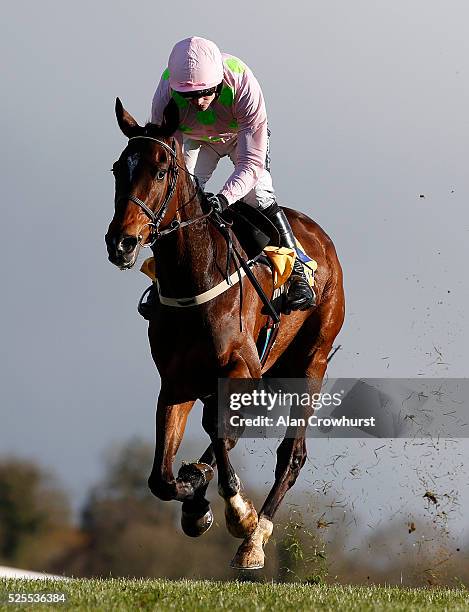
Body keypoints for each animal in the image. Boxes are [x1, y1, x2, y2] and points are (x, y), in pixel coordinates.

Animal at [103, 98, 344, 572]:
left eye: (162, 170)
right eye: (120, 168)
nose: (121, 243)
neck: (193, 279)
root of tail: (319, 235)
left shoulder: (243, 369)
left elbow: (218, 428)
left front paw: (237, 513)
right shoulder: (176, 382)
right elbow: (161, 476)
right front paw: (195, 501)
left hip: (313, 361)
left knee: (290, 456)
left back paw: (255, 537)